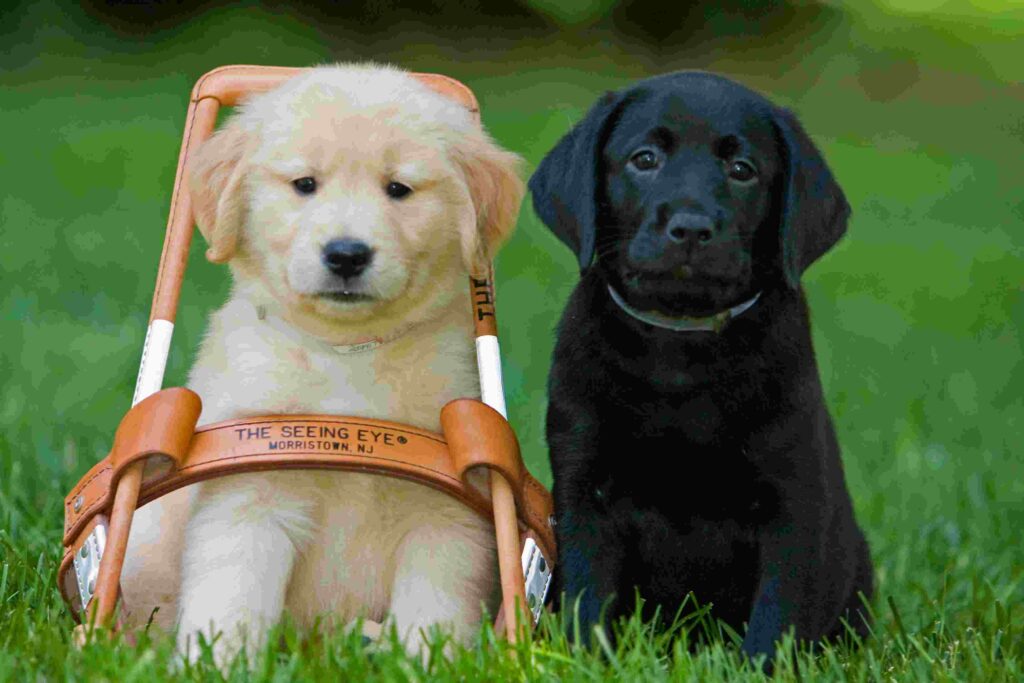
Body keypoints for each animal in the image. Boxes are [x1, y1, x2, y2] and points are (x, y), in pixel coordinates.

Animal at [118, 62, 520, 663]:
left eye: (398, 189)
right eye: (304, 184)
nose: (347, 254)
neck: (347, 353)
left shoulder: (445, 517)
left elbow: (433, 608)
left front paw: (423, 663)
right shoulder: (249, 497)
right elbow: (232, 596)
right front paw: (218, 664)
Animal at [528, 70, 872, 663]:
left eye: (743, 170)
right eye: (644, 159)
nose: (690, 227)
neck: (679, 349)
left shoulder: (792, 499)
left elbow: (777, 614)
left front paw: (761, 669)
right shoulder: (584, 490)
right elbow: (588, 598)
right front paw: (590, 662)